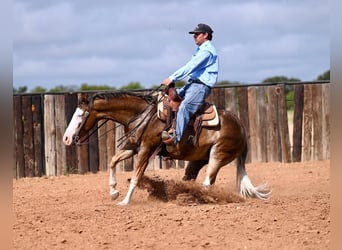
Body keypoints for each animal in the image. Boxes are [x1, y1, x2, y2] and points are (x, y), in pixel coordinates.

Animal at [62, 90, 270, 205]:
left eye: (80, 115)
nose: (66, 138)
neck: (142, 114)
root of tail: (240, 125)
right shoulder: (133, 146)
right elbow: (112, 161)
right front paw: (113, 192)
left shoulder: (146, 149)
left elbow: (136, 176)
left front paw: (125, 201)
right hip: (198, 160)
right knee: (195, 179)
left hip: (218, 155)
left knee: (207, 182)